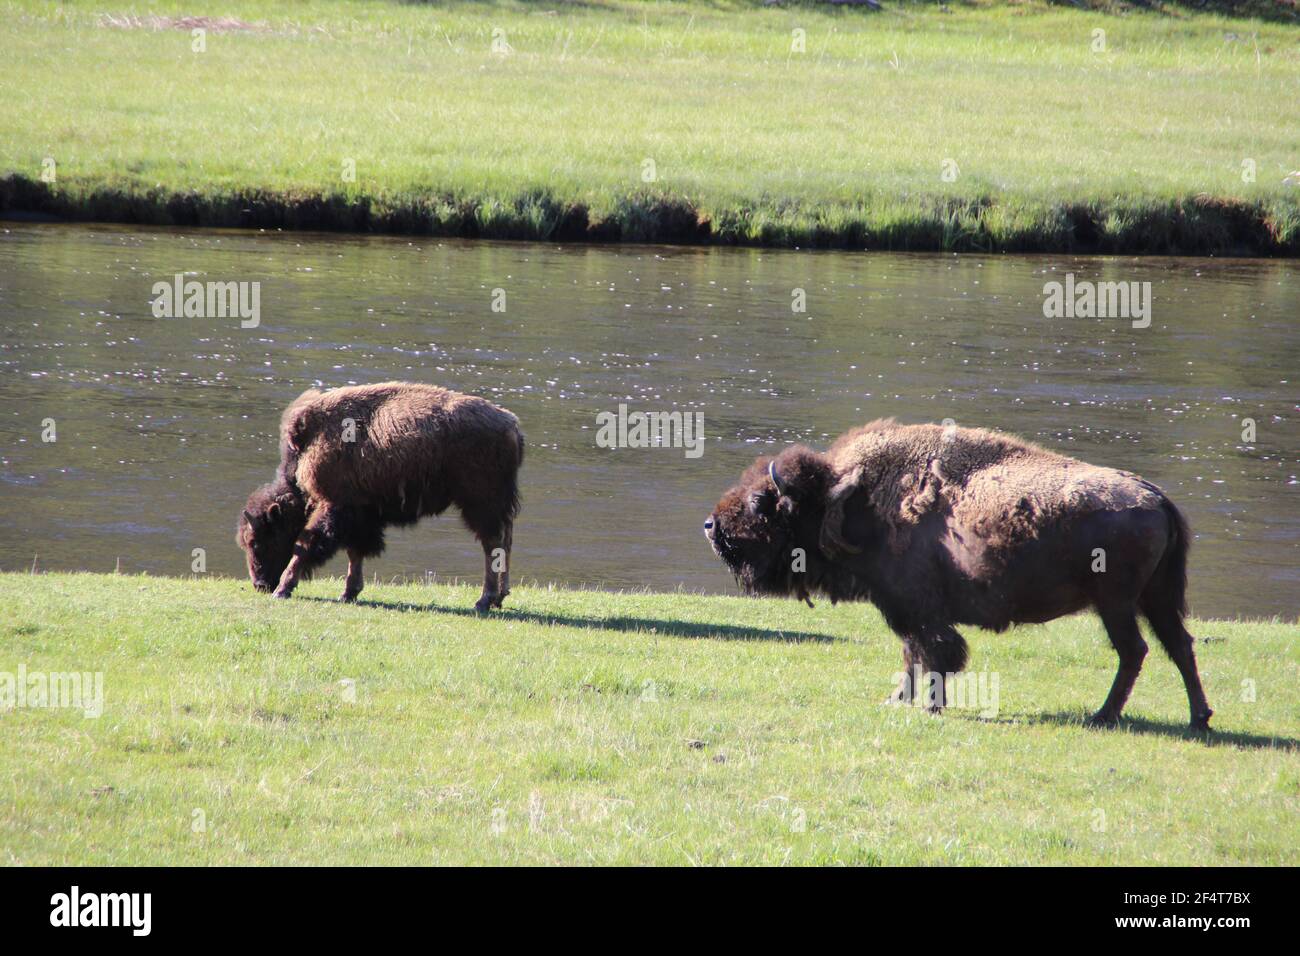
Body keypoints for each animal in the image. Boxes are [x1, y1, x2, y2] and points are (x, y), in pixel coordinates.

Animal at [233, 382, 522, 613]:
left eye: (257, 541)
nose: (260, 584)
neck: (309, 443)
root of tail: (512, 425)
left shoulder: (333, 506)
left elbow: (305, 544)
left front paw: (283, 589)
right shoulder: (360, 515)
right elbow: (355, 551)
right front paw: (348, 593)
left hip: (479, 503)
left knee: (492, 544)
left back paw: (484, 601)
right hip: (494, 504)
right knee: (504, 540)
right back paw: (499, 598)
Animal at [707, 421, 1211, 733]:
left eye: (761, 501)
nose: (711, 526)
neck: (850, 500)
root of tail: (1156, 497)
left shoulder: (916, 609)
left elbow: (935, 654)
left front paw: (930, 706)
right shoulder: (905, 612)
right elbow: (913, 656)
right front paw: (898, 700)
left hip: (1117, 604)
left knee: (1135, 651)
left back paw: (1104, 716)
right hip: (1154, 598)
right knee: (1178, 646)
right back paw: (1198, 718)